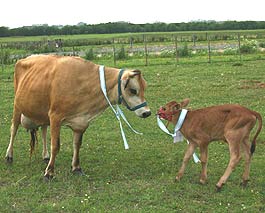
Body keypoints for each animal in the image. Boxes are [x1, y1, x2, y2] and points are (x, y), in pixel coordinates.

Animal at [5, 55, 151, 180]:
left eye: (145, 88)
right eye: (133, 90)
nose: (147, 112)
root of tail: (25, 58)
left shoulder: (81, 122)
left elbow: (77, 144)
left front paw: (76, 168)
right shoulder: (55, 117)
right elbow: (55, 146)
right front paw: (49, 172)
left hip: (42, 112)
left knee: (43, 130)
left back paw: (45, 156)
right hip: (17, 106)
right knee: (13, 130)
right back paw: (9, 156)